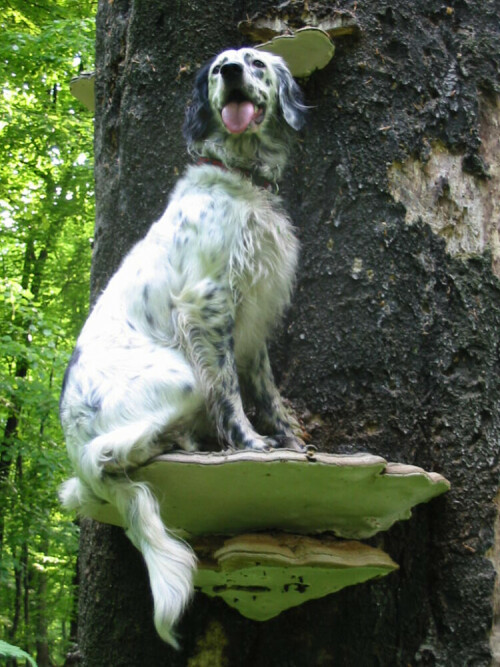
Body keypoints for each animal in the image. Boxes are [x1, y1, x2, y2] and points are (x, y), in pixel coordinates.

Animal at [60, 47, 306, 648]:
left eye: (256, 63)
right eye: (220, 67)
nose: (233, 74)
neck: (239, 176)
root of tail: (74, 442)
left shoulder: (254, 318)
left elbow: (267, 393)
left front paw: (293, 442)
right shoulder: (209, 303)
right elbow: (232, 395)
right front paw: (251, 444)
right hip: (178, 378)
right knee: (116, 454)